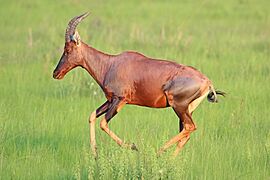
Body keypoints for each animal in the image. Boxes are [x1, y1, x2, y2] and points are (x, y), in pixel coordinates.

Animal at [53, 12, 226, 157]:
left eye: (67, 49)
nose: (55, 73)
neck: (110, 64)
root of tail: (207, 81)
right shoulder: (110, 100)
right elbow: (92, 116)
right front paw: (95, 153)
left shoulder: (120, 100)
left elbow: (103, 123)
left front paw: (133, 147)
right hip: (187, 109)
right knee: (186, 133)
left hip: (178, 106)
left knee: (190, 127)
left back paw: (159, 152)